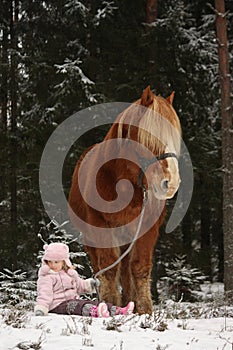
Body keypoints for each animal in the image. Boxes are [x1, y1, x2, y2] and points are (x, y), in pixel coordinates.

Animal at [68, 87, 182, 314]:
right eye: (148, 137)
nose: (171, 183)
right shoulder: (100, 227)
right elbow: (109, 269)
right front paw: (110, 304)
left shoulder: (146, 229)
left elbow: (139, 268)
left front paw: (144, 310)